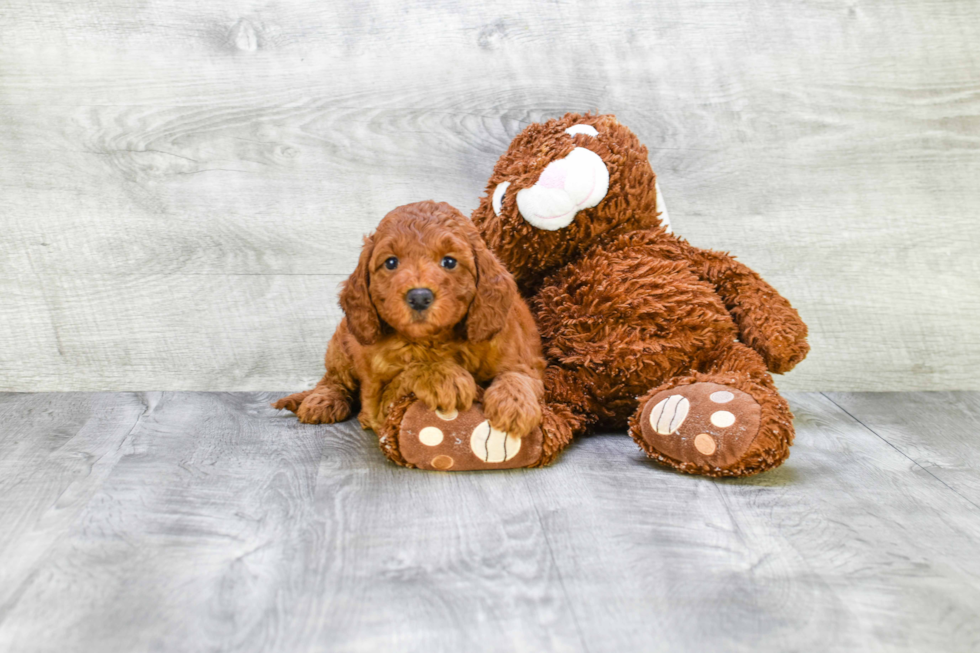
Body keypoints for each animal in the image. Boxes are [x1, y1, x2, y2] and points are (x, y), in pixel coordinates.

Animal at [276, 201, 548, 440]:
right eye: (391, 262)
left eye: (449, 261)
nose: (419, 297)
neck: (436, 340)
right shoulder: (377, 402)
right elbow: (407, 373)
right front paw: (445, 377)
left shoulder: (524, 360)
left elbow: (518, 376)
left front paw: (514, 405)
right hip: (341, 345)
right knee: (333, 378)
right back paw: (322, 401)